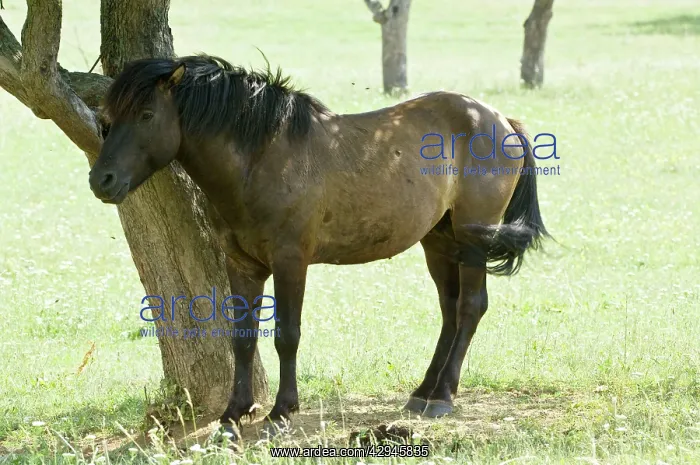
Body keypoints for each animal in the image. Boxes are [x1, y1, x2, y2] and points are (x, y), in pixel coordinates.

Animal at [89, 55, 549, 438]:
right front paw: (233, 415)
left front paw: (280, 413)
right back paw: (424, 392)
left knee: (471, 306)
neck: (260, 159)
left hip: (474, 237)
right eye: (108, 117)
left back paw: (443, 397)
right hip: (438, 240)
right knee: (450, 310)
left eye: (147, 114)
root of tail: (500, 120)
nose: (101, 180)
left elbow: (286, 335)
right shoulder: (242, 264)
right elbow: (243, 338)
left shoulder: (291, 261)